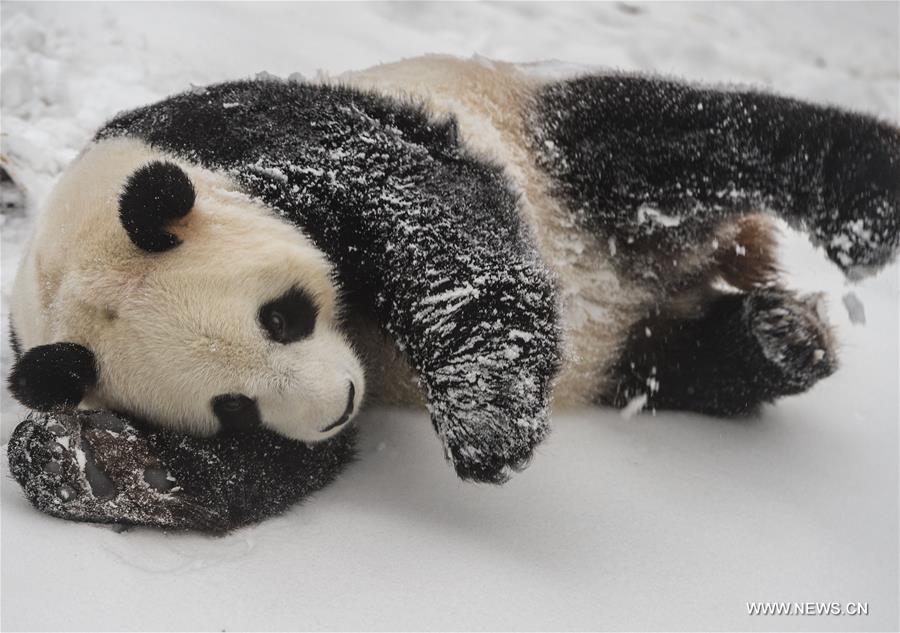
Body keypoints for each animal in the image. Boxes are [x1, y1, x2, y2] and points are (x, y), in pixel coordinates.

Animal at [7, 55, 900, 528]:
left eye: (282, 315)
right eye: (230, 404)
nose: (341, 399)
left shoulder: (242, 135)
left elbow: (420, 200)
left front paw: (487, 426)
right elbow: (274, 465)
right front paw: (89, 460)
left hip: (548, 146)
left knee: (680, 136)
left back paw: (864, 208)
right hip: (633, 351)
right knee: (685, 363)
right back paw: (779, 336)